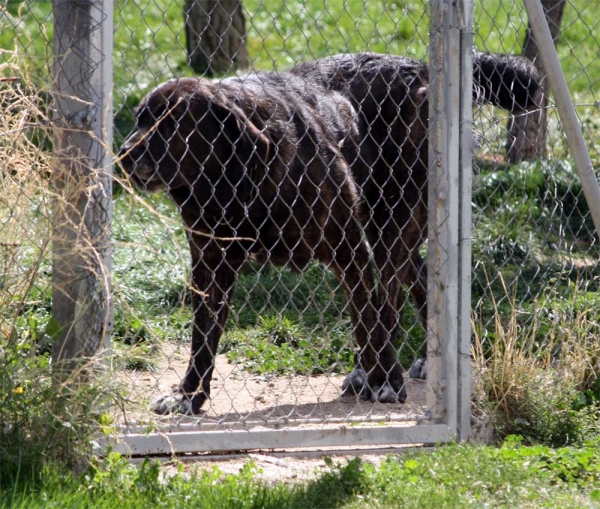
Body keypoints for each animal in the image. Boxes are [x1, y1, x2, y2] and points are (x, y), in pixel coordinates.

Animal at [118, 72, 408, 412]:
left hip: (394, 227)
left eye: (173, 123)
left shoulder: (349, 252)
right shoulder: (209, 264)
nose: (123, 154)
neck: (235, 187)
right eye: (140, 119)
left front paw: (386, 380)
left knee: (387, 304)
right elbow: (201, 337)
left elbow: (367, 322)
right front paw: (188, 394)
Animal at [290, 52, 540, 380]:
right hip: (382, 221)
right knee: (419, 279)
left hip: (395, 219)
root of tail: (421, 67)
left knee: (390, 302)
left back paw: (376, 376)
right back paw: (419, 360)